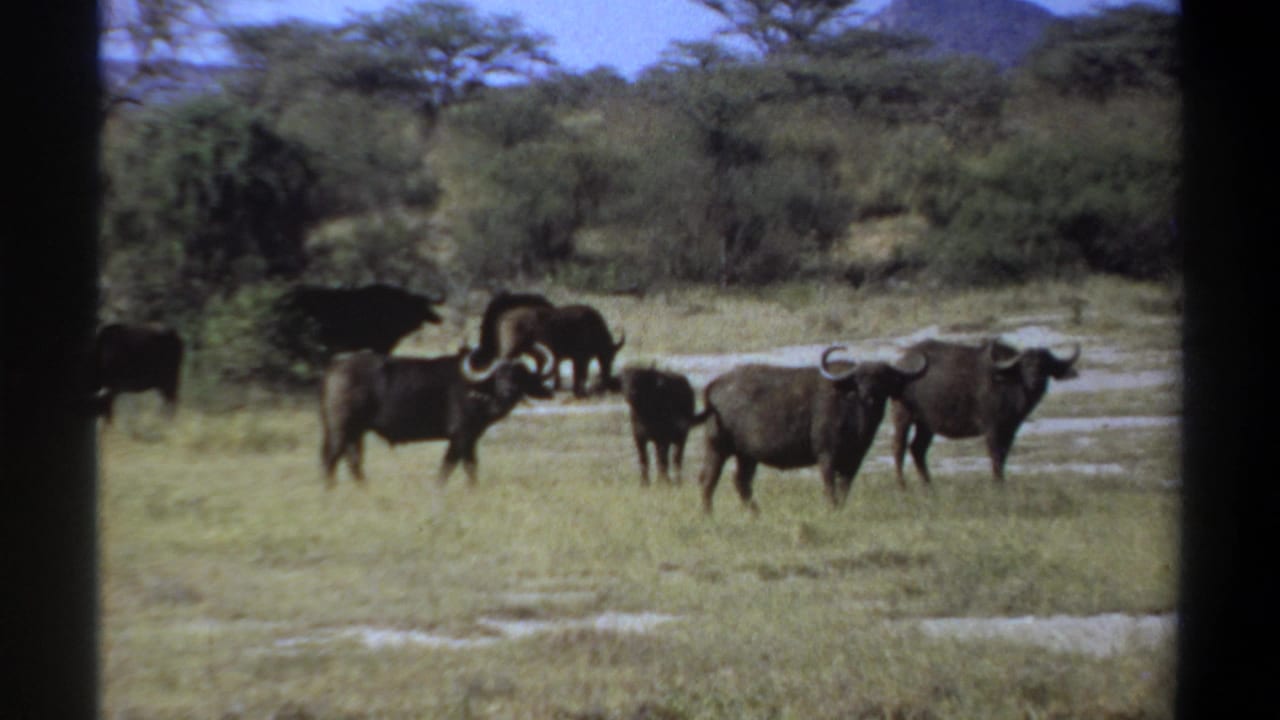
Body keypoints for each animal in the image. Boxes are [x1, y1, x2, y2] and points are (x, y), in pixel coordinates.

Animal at [320, 344, 554, 488]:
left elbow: (470, 467)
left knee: (353, 461)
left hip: (355, 431)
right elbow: (449, 467)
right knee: (332, 459)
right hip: (341, 428)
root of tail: (335, 366)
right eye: (498, 374)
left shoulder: (471, 439)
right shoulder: (461, 436)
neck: (478, 390)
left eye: (520, 373)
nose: (509, 390)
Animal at [698, 346, 928, 513]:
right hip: (717, 448)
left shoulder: (854, 460)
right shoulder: (827, 456)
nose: (870, 395)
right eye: (859, 378)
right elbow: (830, 487)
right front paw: (832, 510)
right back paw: (709, 515)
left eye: (884, 378)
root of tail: (715, 384)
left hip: (747, 455)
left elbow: (844, 488)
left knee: (741, 482)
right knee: (709, 481)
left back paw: (756, 513)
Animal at [890, 338, 1080, 487]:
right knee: (899, 448)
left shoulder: (1011, 429)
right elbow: (996, 455)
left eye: (1045, 365)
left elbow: (1004, 455)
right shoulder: (992, 428)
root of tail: (901, 363)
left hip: (927, 424)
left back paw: (928, 484)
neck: (1009, 382)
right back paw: (902, 484)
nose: (1036, 380)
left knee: (918, 449)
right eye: (1025, 365)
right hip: (903, 417)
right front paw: (997, 483)